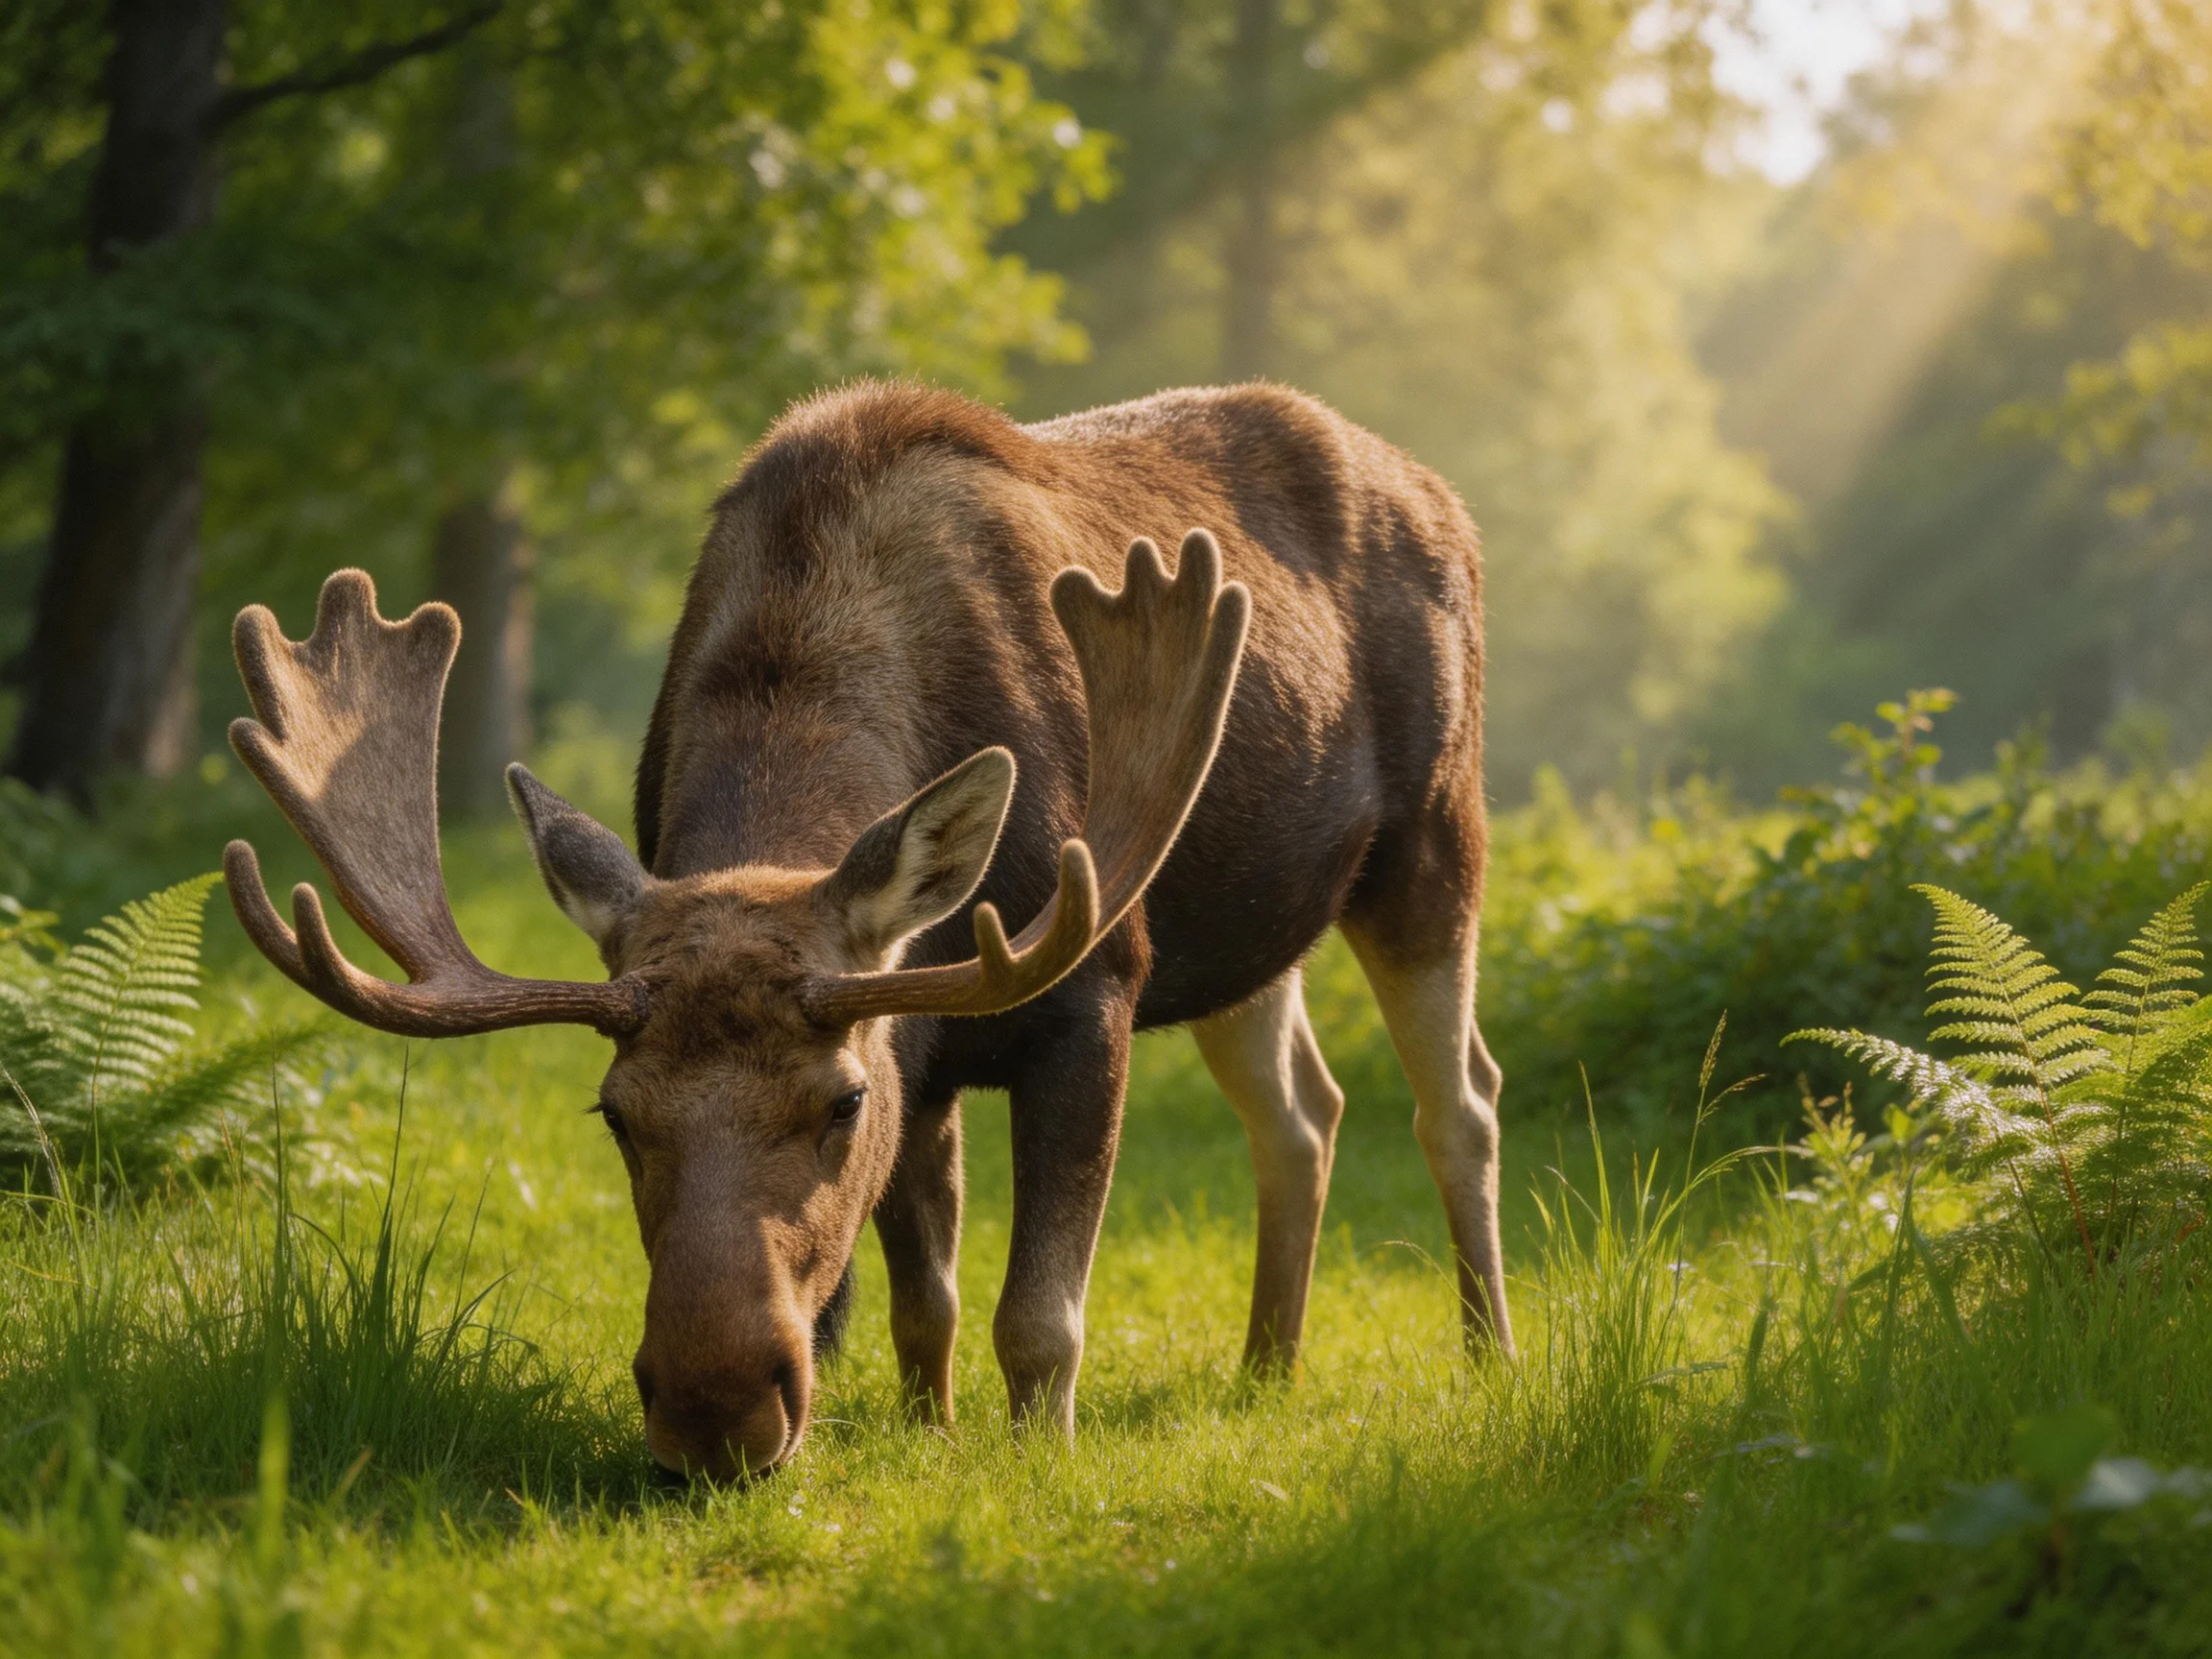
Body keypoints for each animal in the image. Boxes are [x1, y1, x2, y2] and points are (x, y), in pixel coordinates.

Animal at [221, 379, 1513, 1481]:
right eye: (615, 1113)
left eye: (839, 1103)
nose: (714, 1411)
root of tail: (1443, 493)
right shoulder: (919, 1038)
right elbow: (921, 1303)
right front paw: (927, 1435)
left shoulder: (1091, 979)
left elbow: (1040, 1314)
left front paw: (1042, 1461)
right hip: (1247, 937)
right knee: (1302, 1110)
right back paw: (1265, 1367)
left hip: (1433, 835)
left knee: (1461, 1098)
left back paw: (1489, 1353)